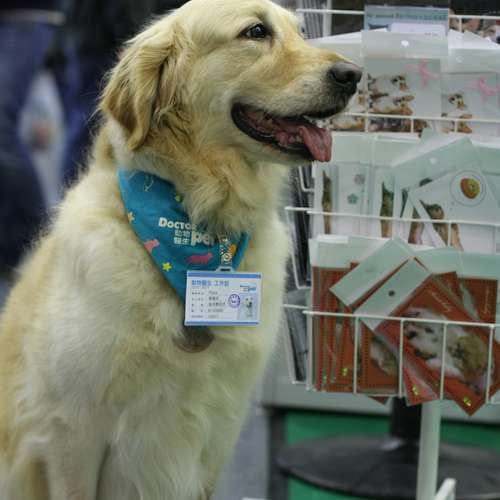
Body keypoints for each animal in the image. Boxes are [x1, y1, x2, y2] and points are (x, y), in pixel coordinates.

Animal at [0, 1, 359, 499]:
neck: (196, 225)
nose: (353, 74)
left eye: (300, 32)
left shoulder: (216, 434)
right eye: (255, 32)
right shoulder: (70, 432)